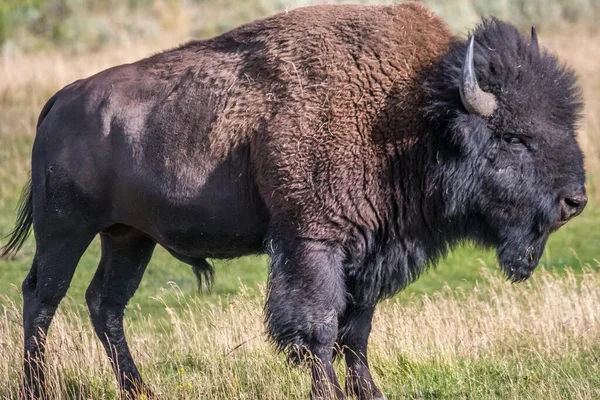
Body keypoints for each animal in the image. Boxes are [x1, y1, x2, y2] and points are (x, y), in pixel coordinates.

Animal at [1, 3, 584, 400]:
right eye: (514, 137)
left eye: (564, 120)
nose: (574, 200)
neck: (411, 113)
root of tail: (61, 99)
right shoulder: (312, 242)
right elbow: (318, 327)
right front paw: (329, 393)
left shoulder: (370, 255)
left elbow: (357, 330)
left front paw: (371, 393)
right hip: (65, 230)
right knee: (43, 297)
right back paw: (37, 388)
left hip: (129, 237)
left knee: (106, 303)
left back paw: (140, 390)